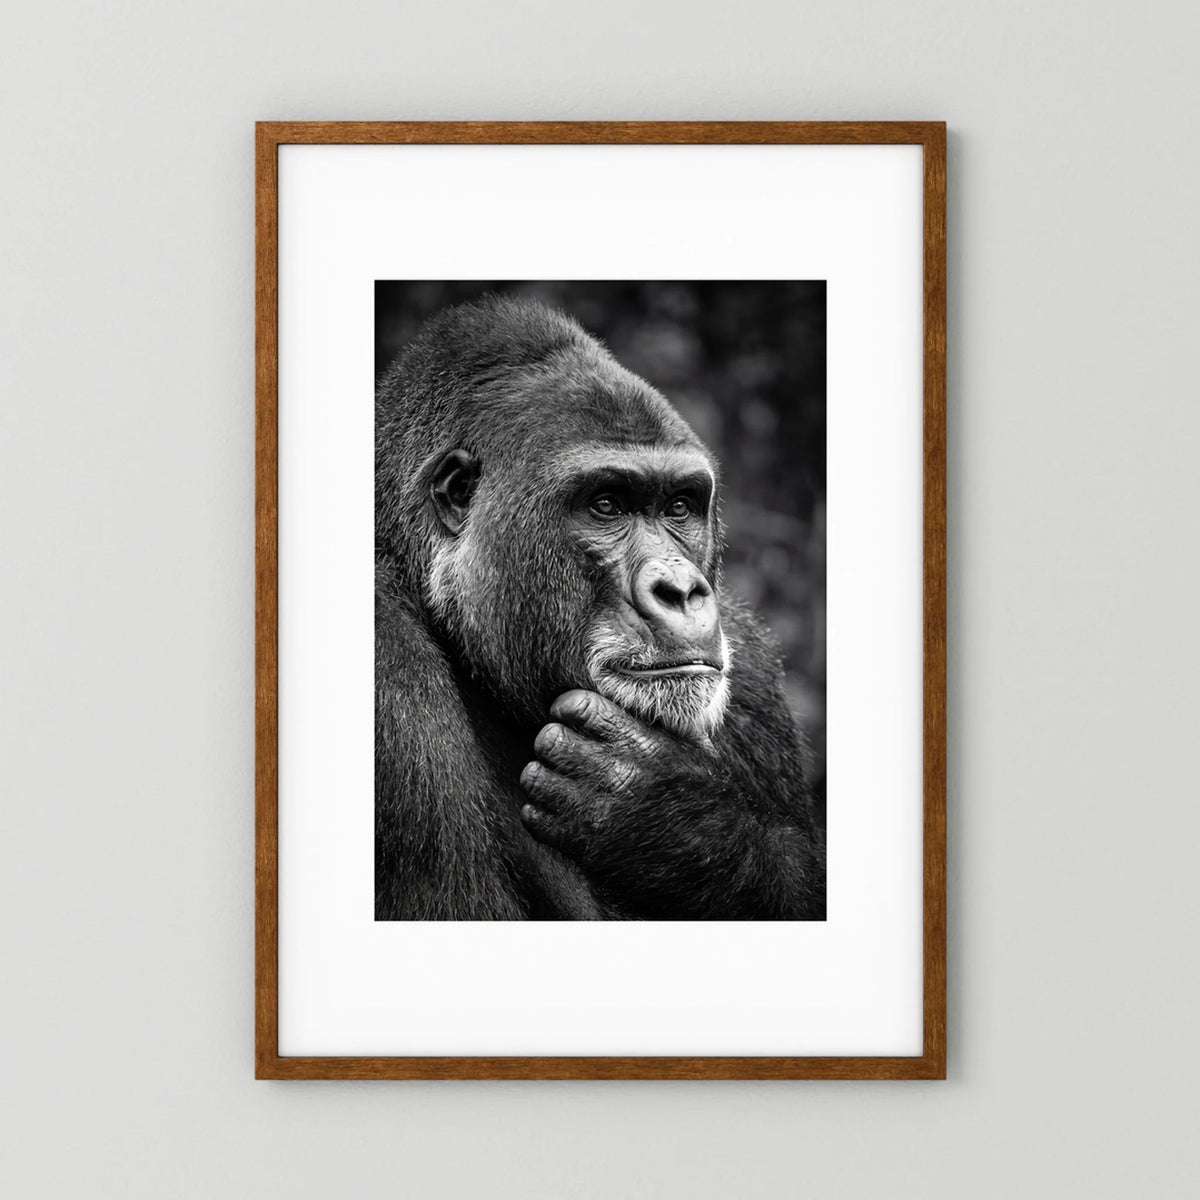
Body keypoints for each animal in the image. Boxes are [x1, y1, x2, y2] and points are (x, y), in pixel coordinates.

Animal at [375, 295, 824, 919]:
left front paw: (676, 815)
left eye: (679, 506)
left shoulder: (753, 669)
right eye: (606, 505)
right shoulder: (388, 674)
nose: (680, 590)